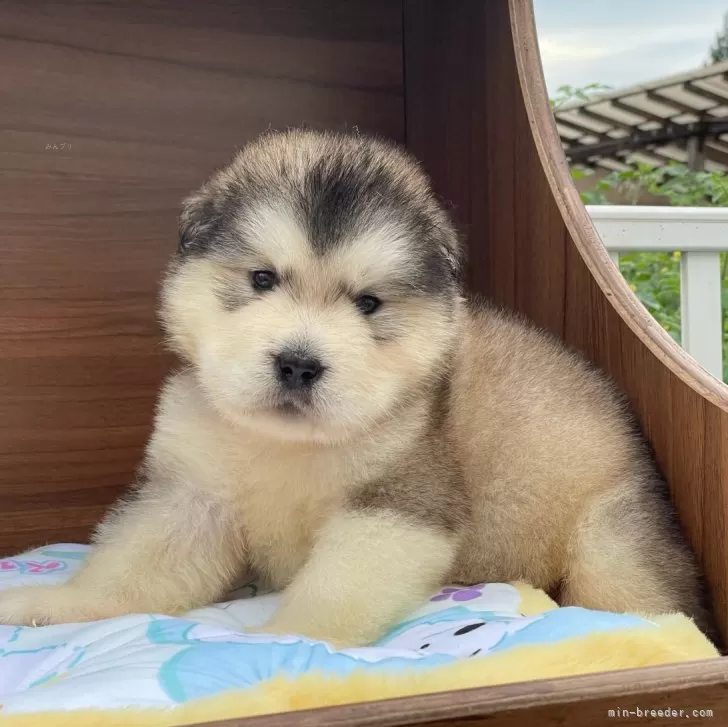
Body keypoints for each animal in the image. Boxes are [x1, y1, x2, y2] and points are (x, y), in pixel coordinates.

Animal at [0, 128, 712, 644]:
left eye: (368, 303)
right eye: (262, 279)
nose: (298, 364)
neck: (287, 445)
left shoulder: (397, 504)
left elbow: (332, 592)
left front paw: (286, 646)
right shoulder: (193, 495)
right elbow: (133, 569)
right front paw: (59, 603)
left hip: (612, 540)